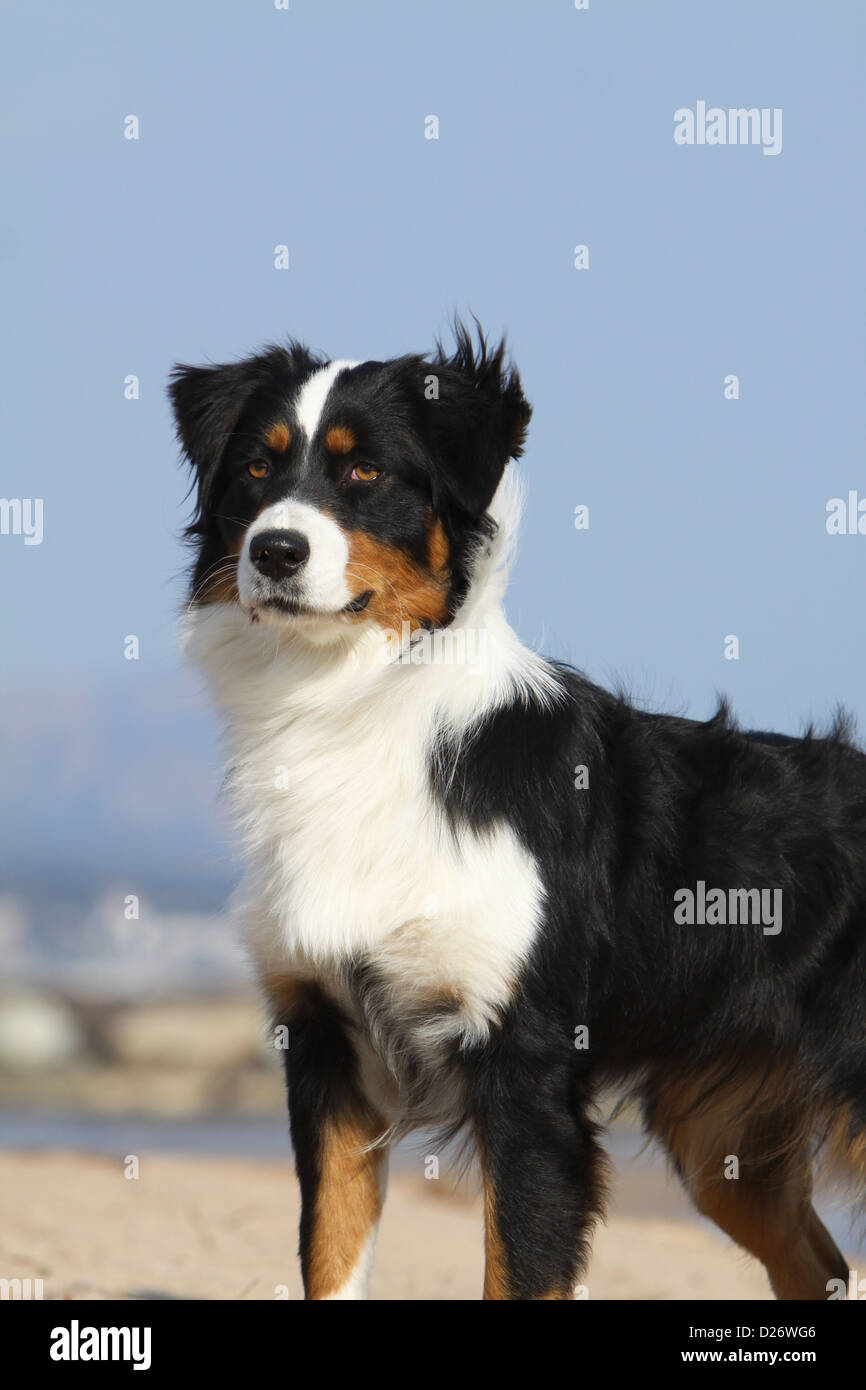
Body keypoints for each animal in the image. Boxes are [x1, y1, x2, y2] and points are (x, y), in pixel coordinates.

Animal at [170, 319, 866, 1295]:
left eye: (365, 472)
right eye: (257, 470)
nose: (273, 551)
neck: (356, 707)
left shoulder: (528, 1067)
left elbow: (520, 1267)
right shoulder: (325, 1046)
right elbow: (329, 1261)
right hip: (723, 1141)